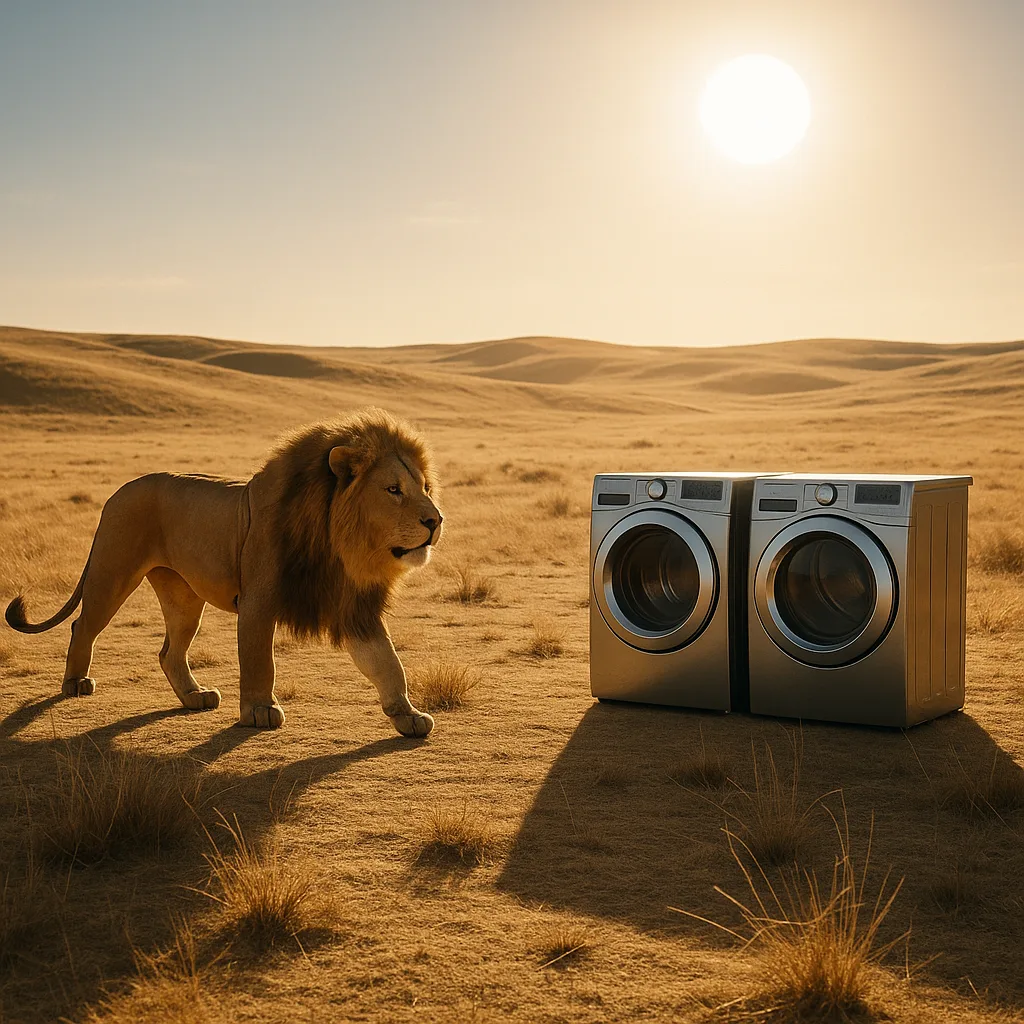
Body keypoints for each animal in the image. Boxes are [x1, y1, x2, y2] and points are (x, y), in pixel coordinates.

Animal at [4, 408, 443, 737]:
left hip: (183, 597)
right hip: (112, 573)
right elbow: (259, 659)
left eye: (424, 487)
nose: (436, 521)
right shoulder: (258, 601)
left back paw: (194, 697)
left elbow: (387, 662)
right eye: (393, 490)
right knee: (83, 626)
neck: (338, 544)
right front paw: (260, 711)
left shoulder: (352, 607)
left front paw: (407, 715)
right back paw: (75, 684)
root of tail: (118, 491)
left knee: (169, 652)